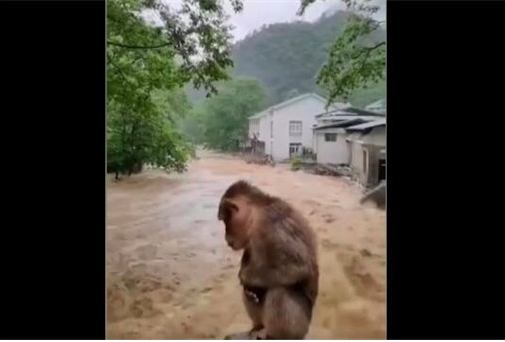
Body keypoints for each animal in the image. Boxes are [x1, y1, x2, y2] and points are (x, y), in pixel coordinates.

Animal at [218, 180, 318, 338]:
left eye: (226, 221)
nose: (226, 238)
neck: (257, 213)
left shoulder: (271, 222)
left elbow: (298, 267)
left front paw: (246, 276)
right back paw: (257, 327)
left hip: (302, 324)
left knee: (280, 292)